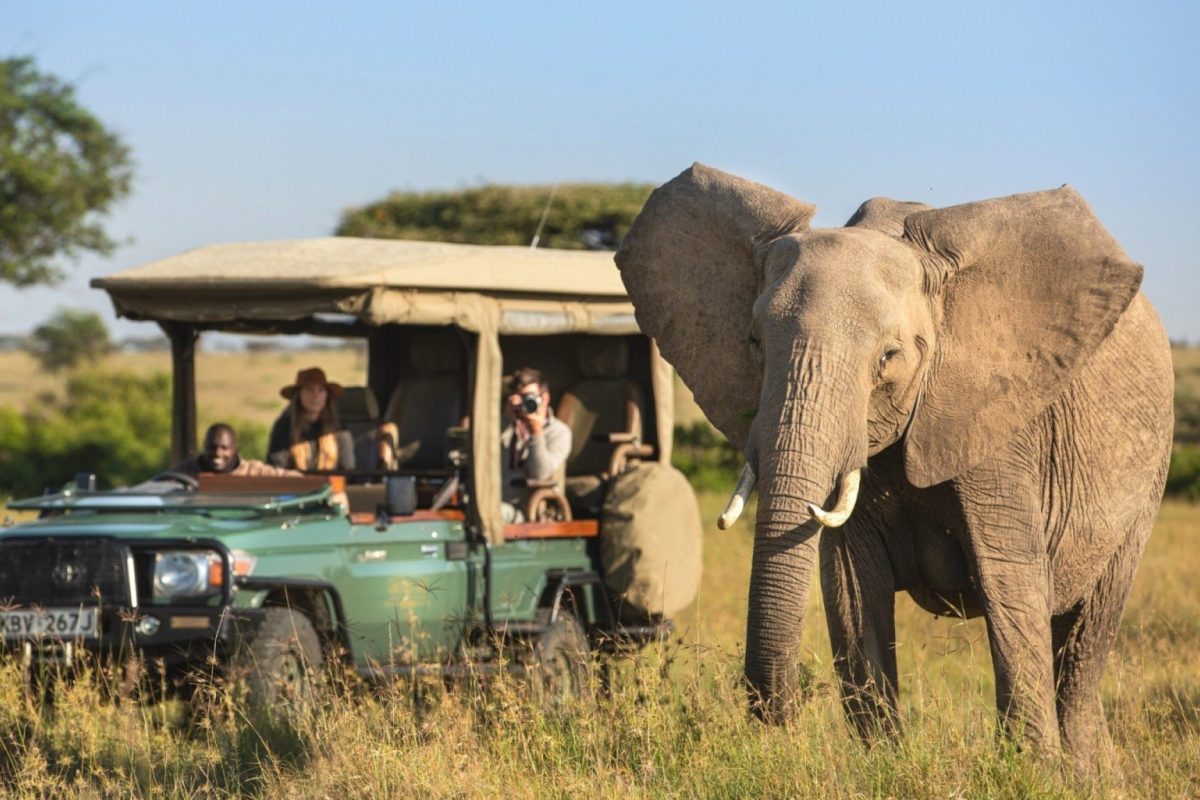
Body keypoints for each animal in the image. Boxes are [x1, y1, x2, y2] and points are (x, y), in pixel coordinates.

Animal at [614, 163, 1174, 769]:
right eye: (755, 342)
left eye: (889, 357)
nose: (778, 717)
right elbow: (852, 592)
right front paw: (882, 766)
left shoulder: (1001, 427)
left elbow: (1010, 585)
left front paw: (1032, 773)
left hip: (1147, 481)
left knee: (1084, 640)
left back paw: (1082, 772)